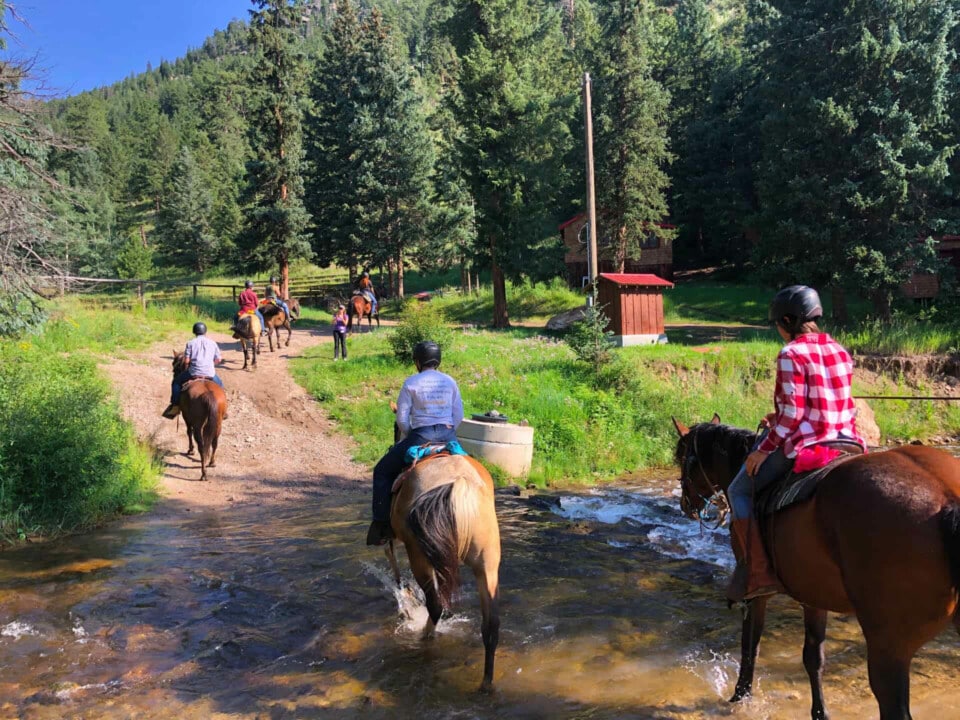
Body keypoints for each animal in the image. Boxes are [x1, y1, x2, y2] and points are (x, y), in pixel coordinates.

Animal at [171, 352, 227, 480]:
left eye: (175, 366)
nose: (174, 375)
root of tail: (208, 394)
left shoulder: (186, 417)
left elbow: (188, 432)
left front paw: (190, 450)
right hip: (218, 423)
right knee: (214, 442)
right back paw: (211, 462)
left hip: (197, 425)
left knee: (201, 445)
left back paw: (203, 473)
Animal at [382, 404, 502, 692]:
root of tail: (458, 483)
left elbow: (392, 558)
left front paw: (404, 599)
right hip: (487, 565)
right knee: (491, 624)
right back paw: (486, 683)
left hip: (419, 554)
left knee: (434, 604)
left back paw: (424, 636)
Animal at [672, 414, 960, 720]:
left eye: (683, 458)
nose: (685, 504)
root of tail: (946, 496)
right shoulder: (813, 596)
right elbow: (813, 658)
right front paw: (820, 712)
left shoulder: (755, 593)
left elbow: (750, 645)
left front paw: (740, 695)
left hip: (889, 645)